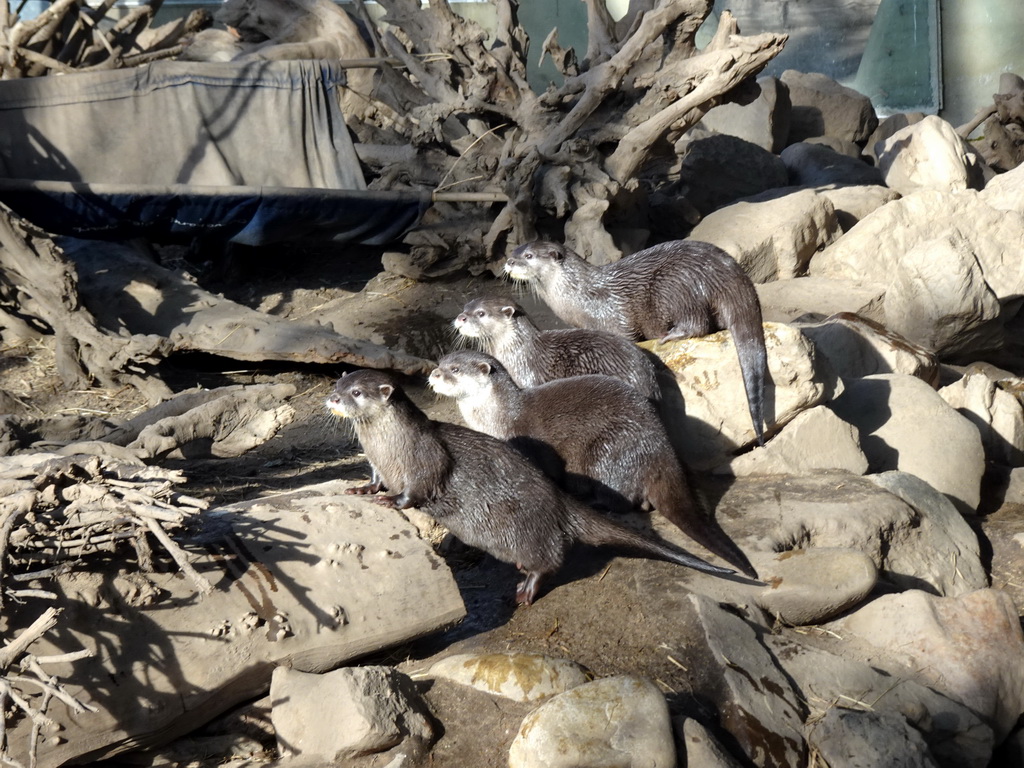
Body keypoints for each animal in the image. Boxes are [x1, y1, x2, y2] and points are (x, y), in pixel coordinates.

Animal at [323, 370, 741, 606]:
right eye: (338, 383)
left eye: (357, 393)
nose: (334, 397)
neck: (388, 447)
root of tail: (558, 502)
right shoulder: (377, 462)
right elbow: (374, 477)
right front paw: (364, 490)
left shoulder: (426, 455)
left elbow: (423, 484)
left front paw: (393, 499)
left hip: (526, 529)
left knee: (552, 559)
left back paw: (528, 588)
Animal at [428, 352, 757, 581]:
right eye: (441, 362)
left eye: (455, 370)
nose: (434, 374)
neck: (498, 417)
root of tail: (659, 445)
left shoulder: (526, 447)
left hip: (605, 452)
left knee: (622, 500)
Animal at [503, 239, 770, 444]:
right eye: (514, 251)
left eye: (528, 256)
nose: (509, 262)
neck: (579, 296)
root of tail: (728, 273)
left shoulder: (614, 315)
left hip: (674, 284)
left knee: (697, 322)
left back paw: (670, 335)